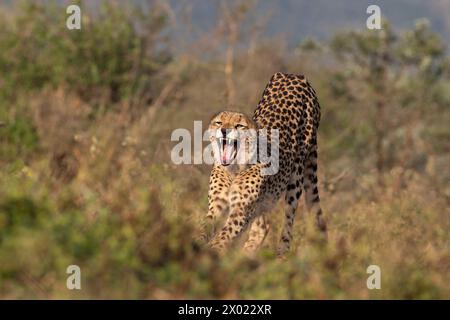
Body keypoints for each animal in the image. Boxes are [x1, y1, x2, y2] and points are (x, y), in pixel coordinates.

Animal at [202, 72, 326, 255]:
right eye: (219, 122)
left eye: (239, 126)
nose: (224, 130)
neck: (234, 168)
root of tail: (294, 75)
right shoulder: (216, 205)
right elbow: (204, 228)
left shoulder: (241, 209)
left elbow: (224, 234)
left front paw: (212, 251)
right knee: (263, 226)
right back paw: (247, 254)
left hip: (296, 175)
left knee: (288, 221)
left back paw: (280, 254)